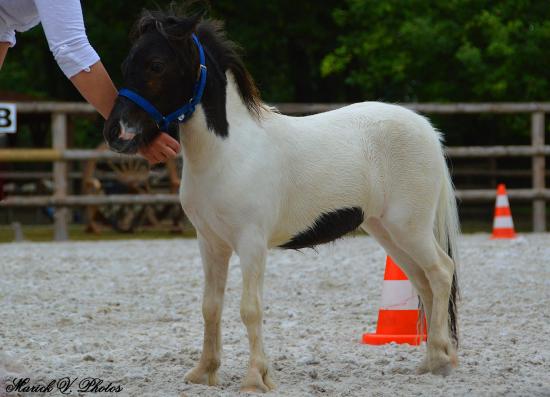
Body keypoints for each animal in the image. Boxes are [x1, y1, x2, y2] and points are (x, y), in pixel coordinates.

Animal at [103, 10, 462, 392]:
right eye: (127, 63)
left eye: (156, 65)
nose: (116, 132)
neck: (227, 152)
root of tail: (426, 129)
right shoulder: (211, 242)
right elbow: (210, 306)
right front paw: (204, 372)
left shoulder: (251, 243)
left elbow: (250, 308)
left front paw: (255, 378)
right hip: (387, 231)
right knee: (423, 282)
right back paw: (430, 360)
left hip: (410, 227)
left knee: (441, 273)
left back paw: (441, 359)